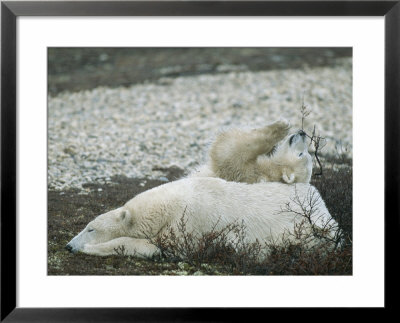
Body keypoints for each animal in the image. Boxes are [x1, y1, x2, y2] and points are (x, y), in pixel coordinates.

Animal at [66, 177, 338, 258]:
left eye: (90, 228)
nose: (68, 246)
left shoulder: (190, 220)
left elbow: (161, 247)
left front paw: (91, 248)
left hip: (309, 231)